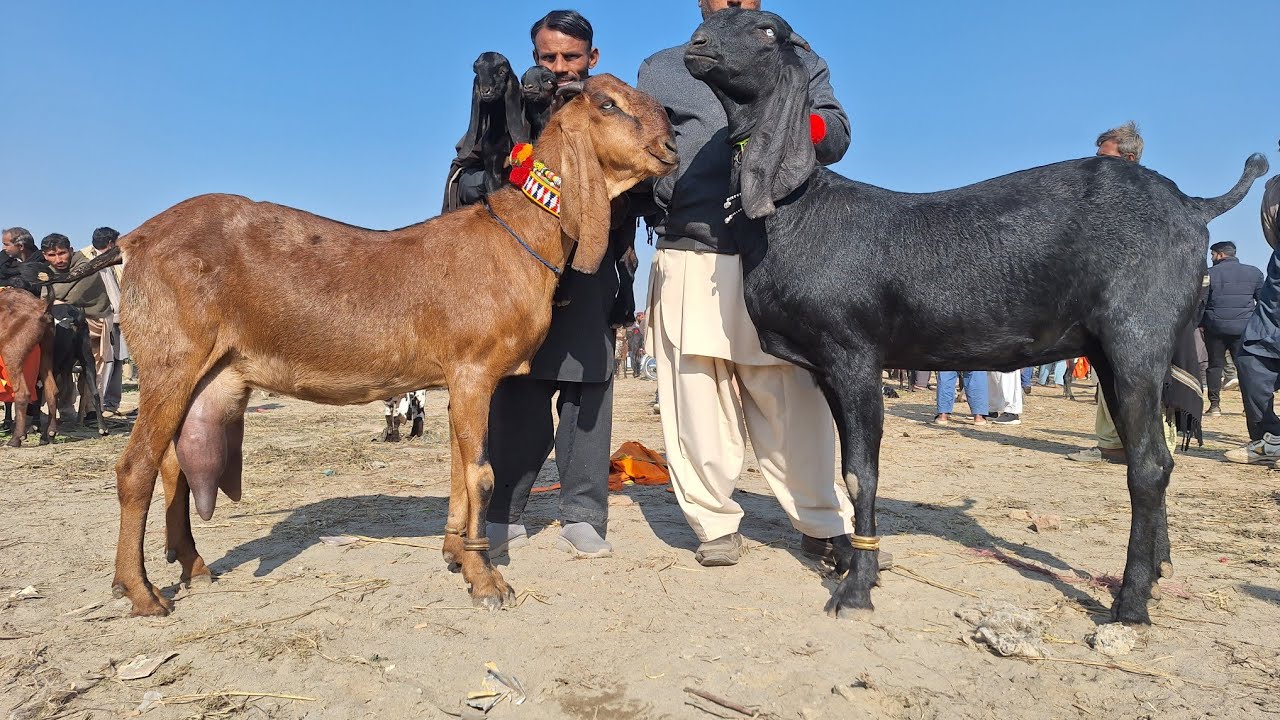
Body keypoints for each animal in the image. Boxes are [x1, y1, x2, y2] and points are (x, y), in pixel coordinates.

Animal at [59, 75, 675, 617]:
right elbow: (481, 473)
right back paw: (141, 593)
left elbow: (459, 467)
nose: (671, 143)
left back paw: (192, 566)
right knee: (136, 468)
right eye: (609, 103)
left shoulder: (457, 380)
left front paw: (455, 555)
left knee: (174, 467)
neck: (517, 236)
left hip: (201, 374)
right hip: (170, 360)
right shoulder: (474, 369)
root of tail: (133, 241)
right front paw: (485, 580)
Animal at [685, 9, 1268, 625]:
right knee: (1150, 456)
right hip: (1110, 354)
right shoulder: (824, 367)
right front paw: (850, 565)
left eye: (767, 30)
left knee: (1151, 464)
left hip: (1138, 338)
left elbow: (861, 472)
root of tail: (1193, 205)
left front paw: (858, 587)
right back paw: (1156, 573)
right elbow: (847, 468)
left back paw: (1129, 602)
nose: (696, 46)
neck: (795, 211)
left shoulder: (853, 354)